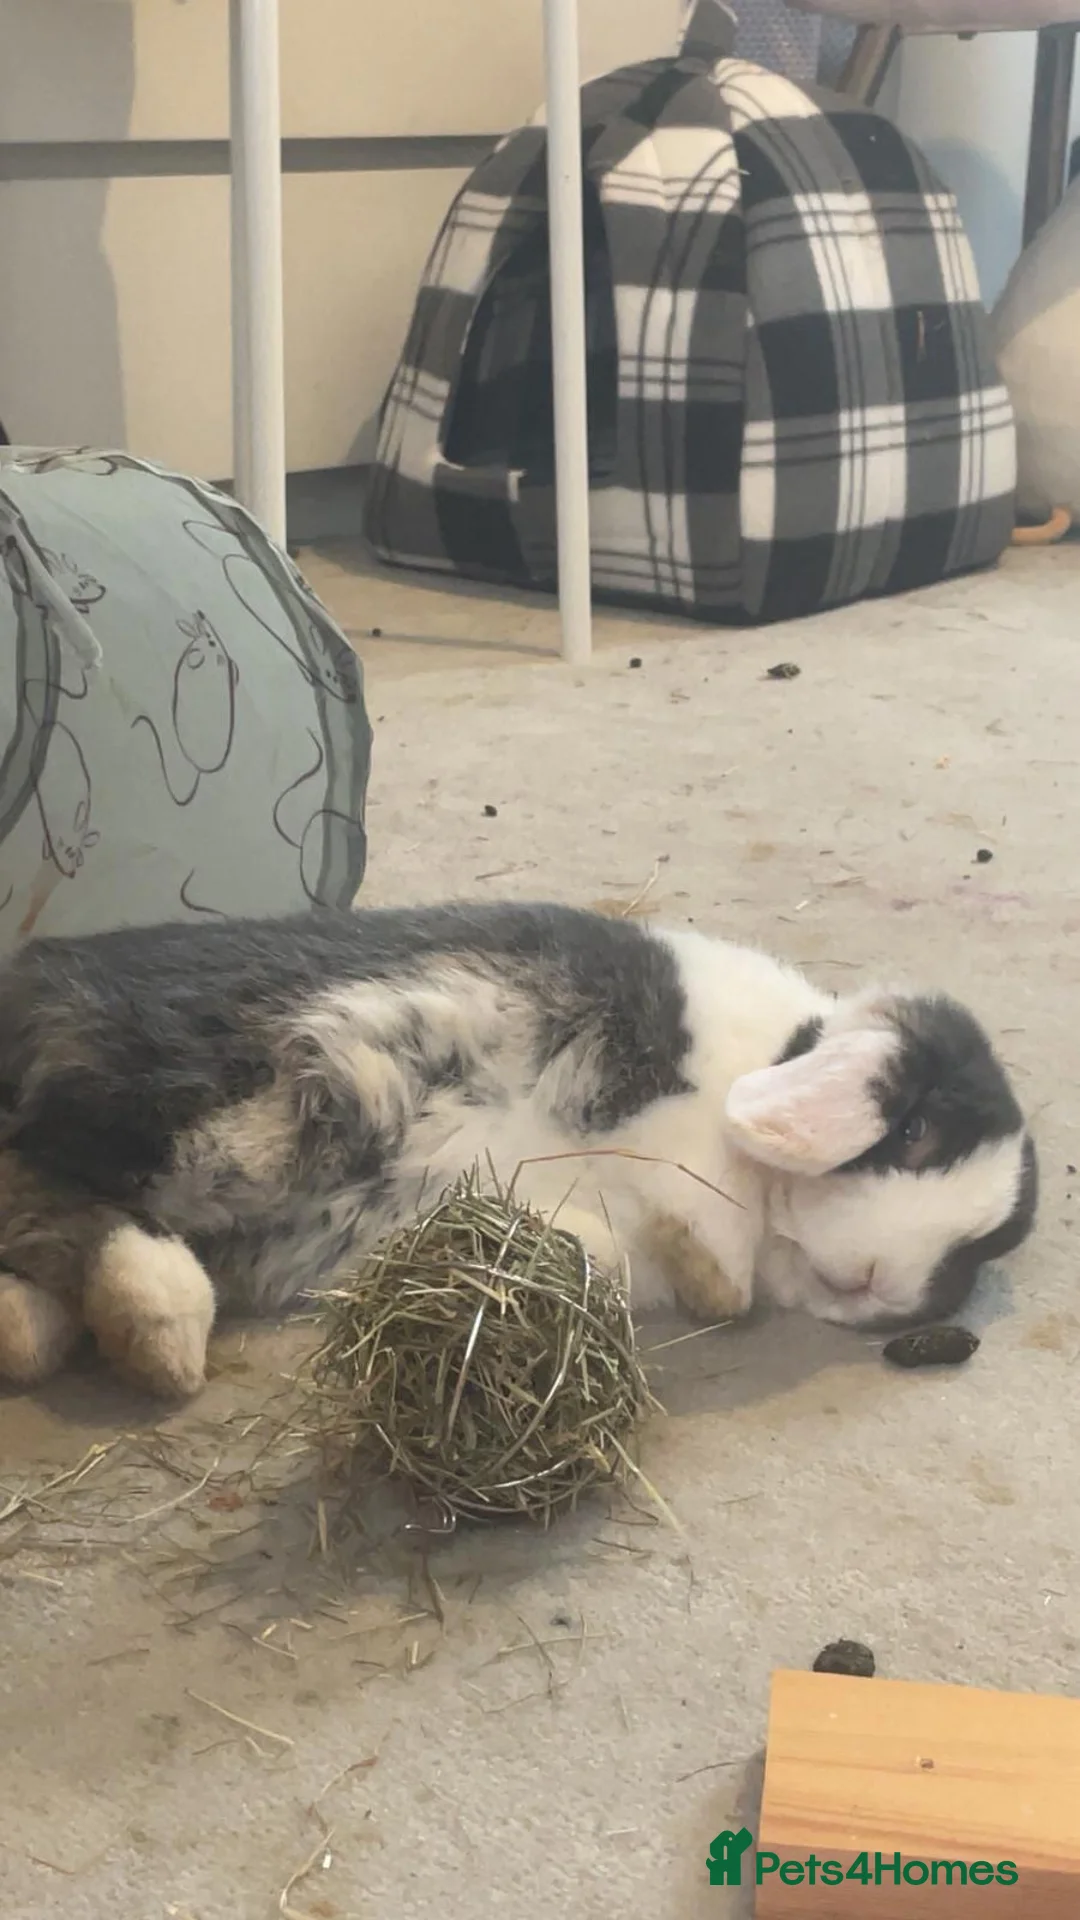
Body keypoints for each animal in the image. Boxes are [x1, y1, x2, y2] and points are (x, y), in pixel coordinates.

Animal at [0, 901, 1037, 1399]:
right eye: (914, 1132)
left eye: (972, 1255)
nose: (875, 1287)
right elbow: (701, 1214)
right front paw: (711, 1267)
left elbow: (620, 1250)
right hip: (173, 1099)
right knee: (53, 1189)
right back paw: (157, 1331)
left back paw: (54, 1336)